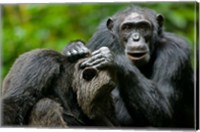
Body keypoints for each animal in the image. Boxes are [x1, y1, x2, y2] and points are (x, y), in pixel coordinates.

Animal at [63, 6, 194, 128]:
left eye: (143, 27)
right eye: (127, 28)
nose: (136, 38)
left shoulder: (174, 52)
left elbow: (163, 112)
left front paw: (113, 58)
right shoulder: (101, 36)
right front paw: (74, 48)